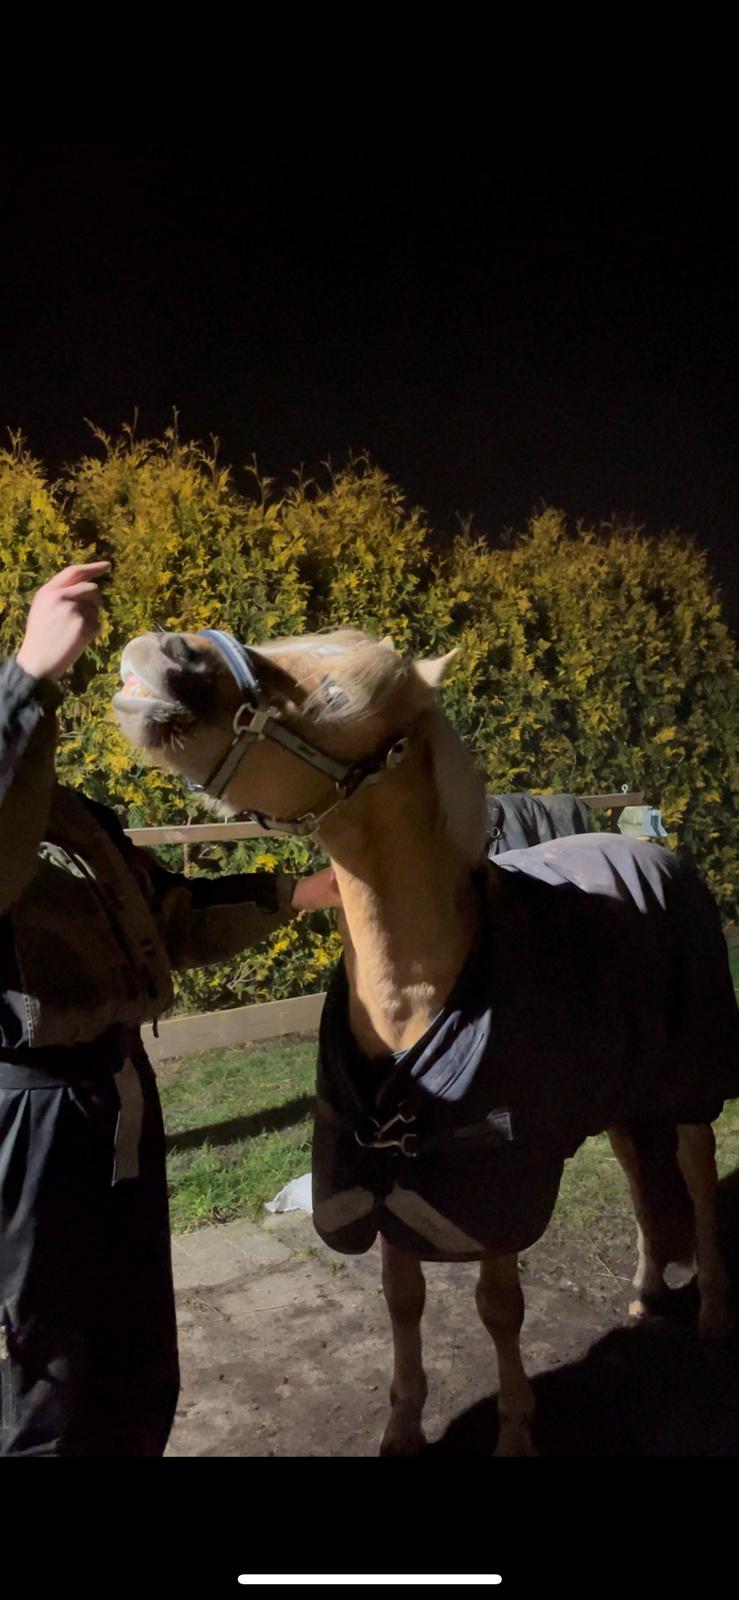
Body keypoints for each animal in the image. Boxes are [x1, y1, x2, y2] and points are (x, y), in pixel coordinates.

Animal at [113, 625, 739, 1456]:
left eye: (338, 696)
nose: (160, 656)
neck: (418, 997)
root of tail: (657, 851)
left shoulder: (495, 1182)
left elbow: (498, 1305)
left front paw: (514, 1432)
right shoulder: (380, 1180)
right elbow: (400, 1299)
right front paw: (404, 1428)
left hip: (690, 1084)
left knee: (694, 1177)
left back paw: (712, 1315)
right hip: (620, 1099)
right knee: (642, 1182)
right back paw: (642, 1296)